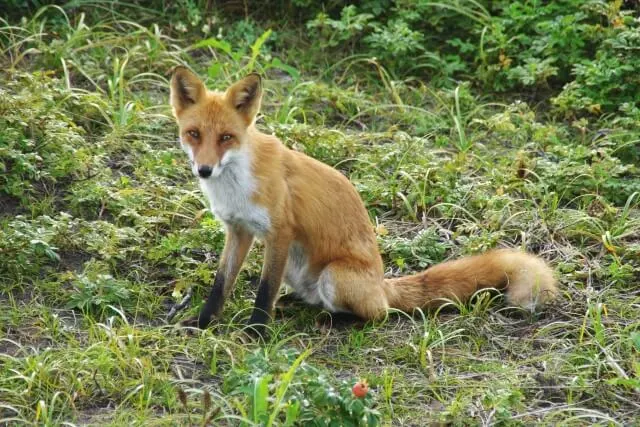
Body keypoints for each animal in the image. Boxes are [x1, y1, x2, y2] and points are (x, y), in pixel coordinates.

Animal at [168, 67, 556, 334]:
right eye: (194, 134)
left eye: (226, 137)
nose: (204, 169)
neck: (235, 183)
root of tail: (382, 283)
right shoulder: (239, 230)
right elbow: (221, 284)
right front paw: (202, 322)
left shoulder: (280, 231)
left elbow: (264, 292)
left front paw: (255, 333)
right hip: (299, 268)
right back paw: (299, 303)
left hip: (334, 275)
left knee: (379, 314)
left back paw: (336, 320)